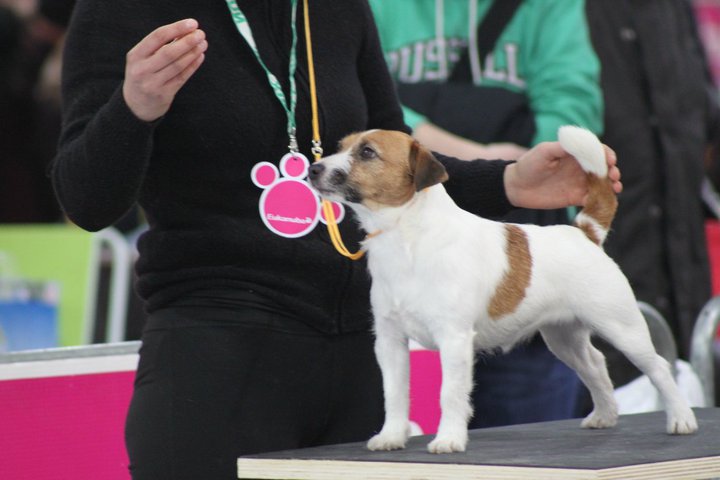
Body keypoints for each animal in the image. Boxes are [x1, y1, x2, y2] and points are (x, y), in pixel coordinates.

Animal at [308, 126, 696, 454]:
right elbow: (394, 393)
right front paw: (391, 436)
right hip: (563, 337)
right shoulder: (389, 340)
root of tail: (584, 233)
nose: (313, 169)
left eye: (367, 153)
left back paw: (681, 418)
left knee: (659, 367)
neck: (407, 235)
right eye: (340, 147)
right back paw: (605, 414)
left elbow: (450, 393)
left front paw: (449, 439)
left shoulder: (454, 340)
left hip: (622, 328)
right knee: (595, 364)